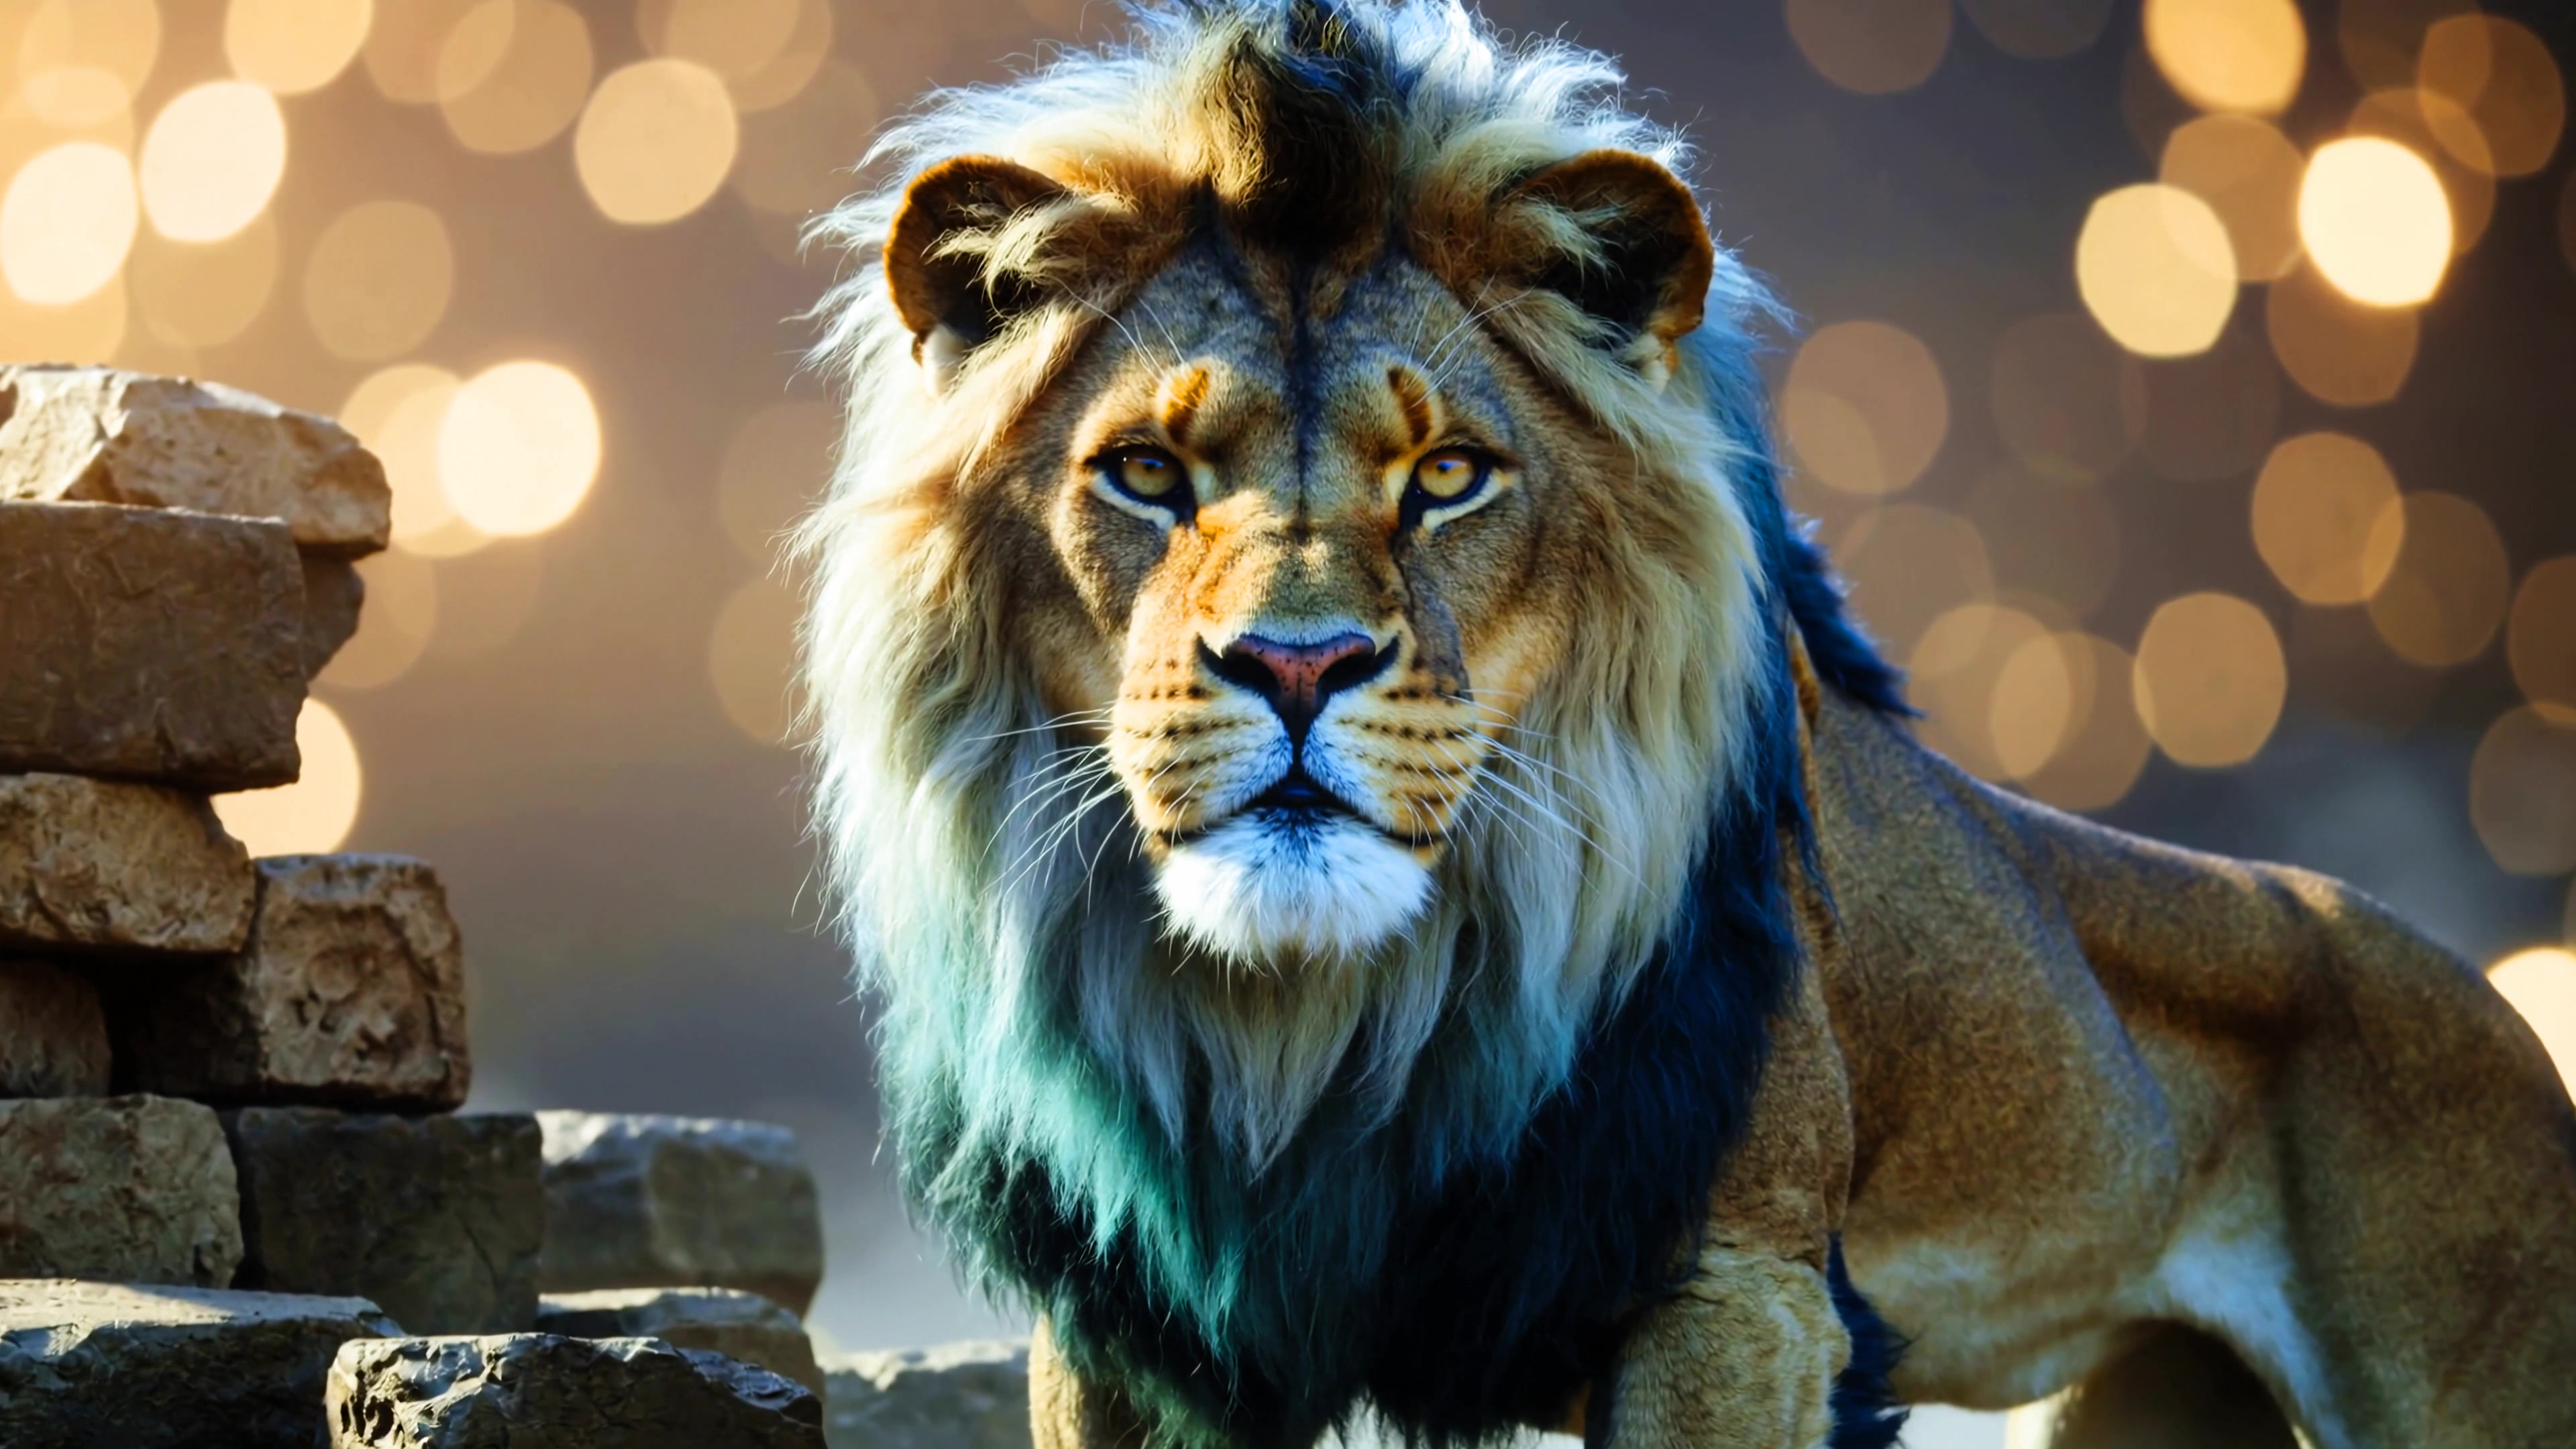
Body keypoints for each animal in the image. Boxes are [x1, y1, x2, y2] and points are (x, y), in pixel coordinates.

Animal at [796, 4, 2576, 1446]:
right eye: (1147, 474)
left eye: (1449, 475)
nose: (1298, 667)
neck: (1325, 1017)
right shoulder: (1136, 1321)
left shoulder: (1740, 1291)